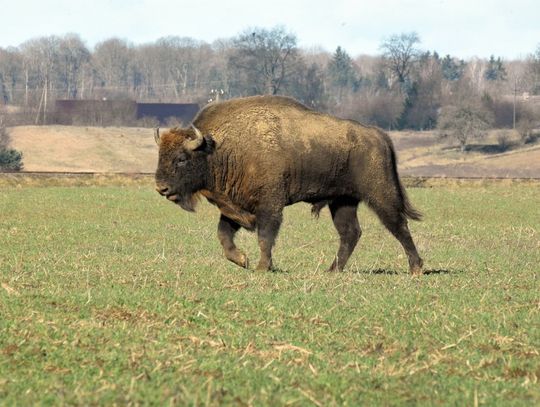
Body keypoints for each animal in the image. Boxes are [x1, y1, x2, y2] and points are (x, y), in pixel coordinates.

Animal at [154, 95, 424, 274]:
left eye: (181, 159)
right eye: (160, 155)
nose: (161, 188)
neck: (219, 148)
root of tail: (379, 135)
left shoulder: (269, 205)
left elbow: (265, 236)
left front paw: (262, 267)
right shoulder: (234, 206)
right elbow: (224, 234)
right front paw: (242, 260)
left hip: (380, 194)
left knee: (398, 225)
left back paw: (416, 268)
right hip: (342, 202)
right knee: (350, 233)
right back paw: (332, 270)